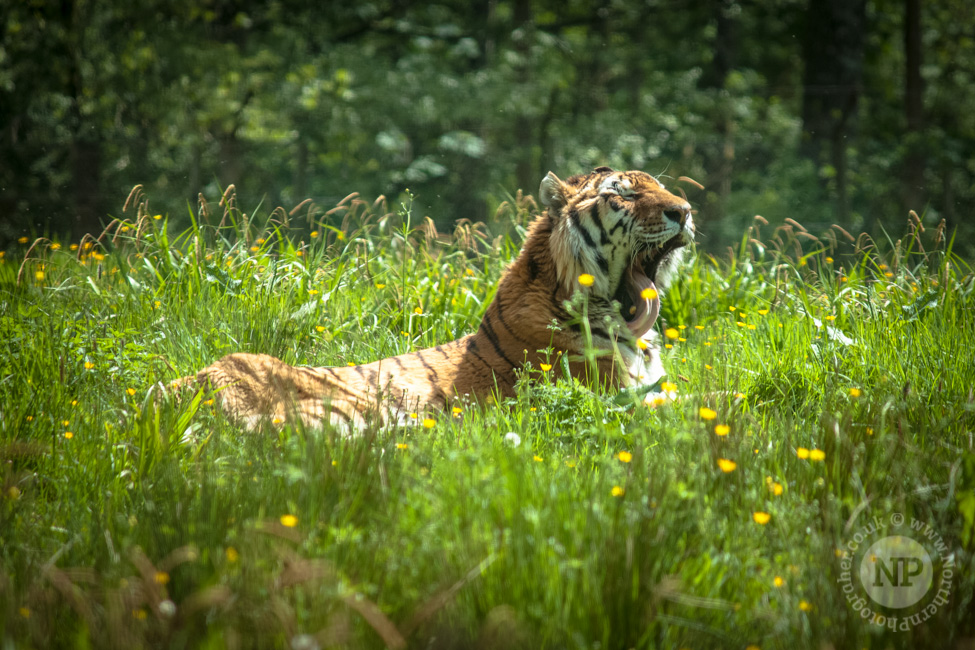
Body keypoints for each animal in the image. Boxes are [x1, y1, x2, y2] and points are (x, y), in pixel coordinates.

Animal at [175, 168, 692, 430]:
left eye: (663, 187)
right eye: (623, 196)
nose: (685, 211)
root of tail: (182, 385)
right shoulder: (618, 396)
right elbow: (703, 400)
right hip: (349, 408)